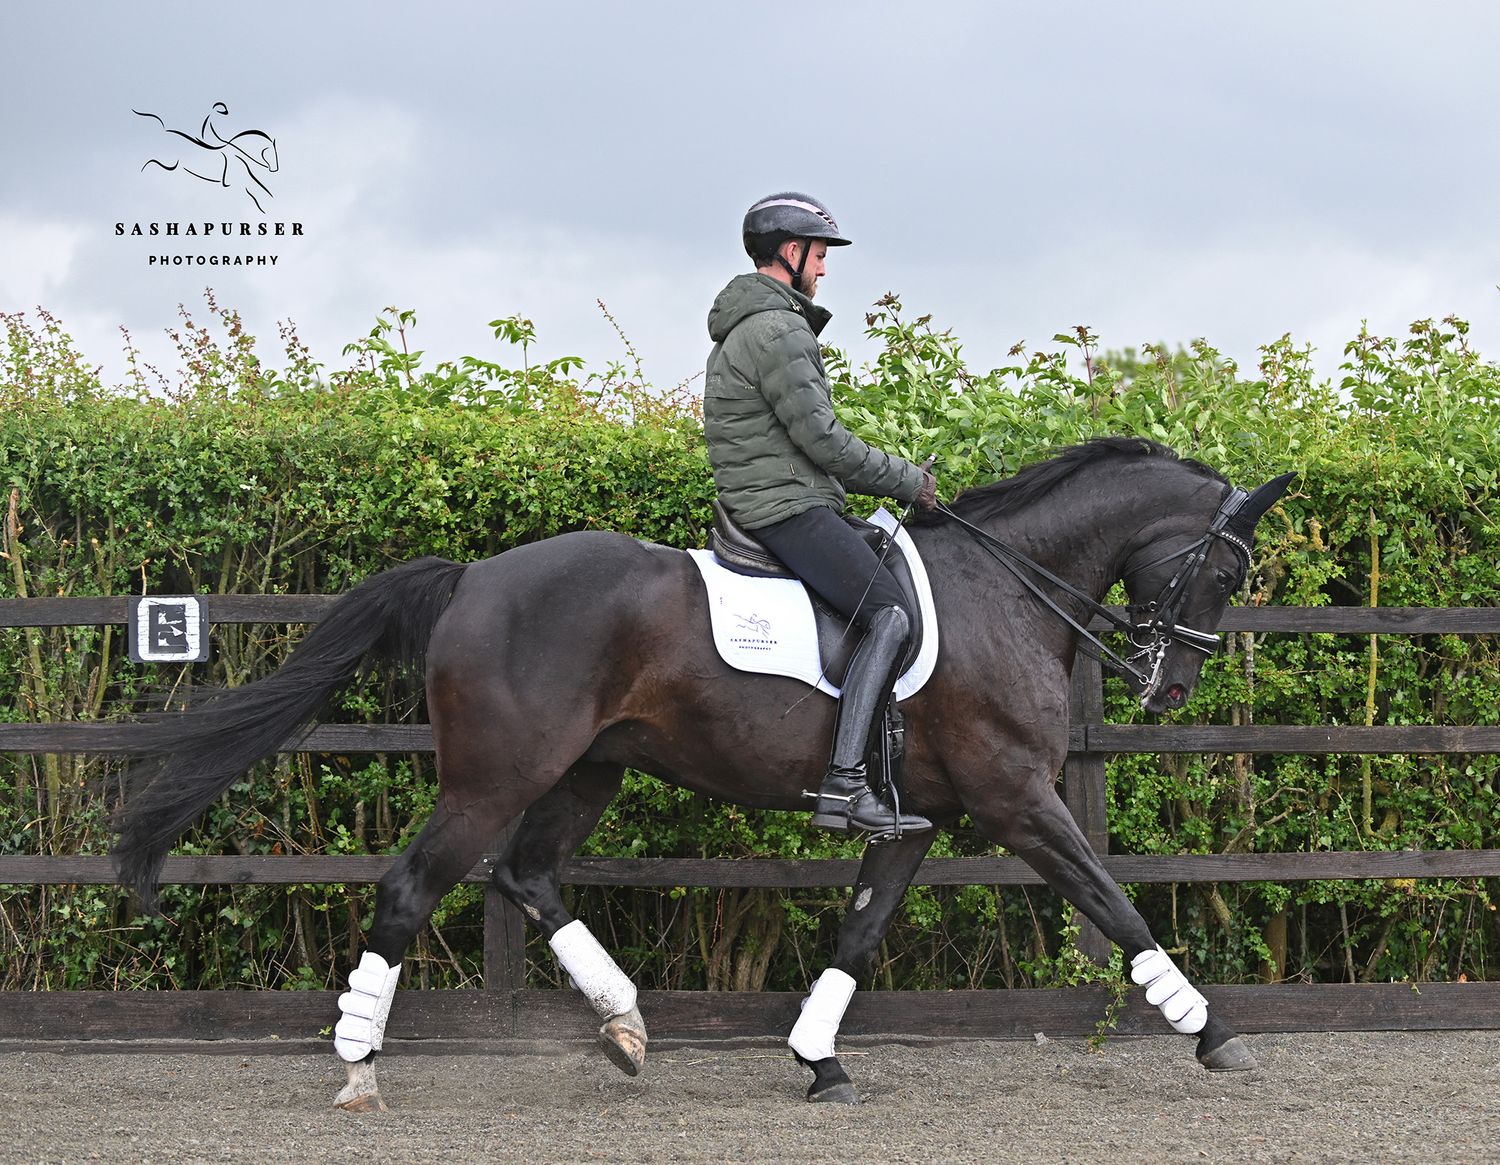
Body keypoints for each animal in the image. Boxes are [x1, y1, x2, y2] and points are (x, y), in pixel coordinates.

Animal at [108, 436, 1293, 1111]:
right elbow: (1117, 903)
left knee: (526, 876)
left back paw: (626, 1026)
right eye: (1226, 567)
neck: (1004, 591)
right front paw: (1216, 1035)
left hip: (588, 770)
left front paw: (819, 1061)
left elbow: (861, 933)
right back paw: (357, 1061)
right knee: (414, 887)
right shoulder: (1019, 800)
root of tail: (474, 576)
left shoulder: (913, 823)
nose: (1170, 686)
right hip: (494, 779)